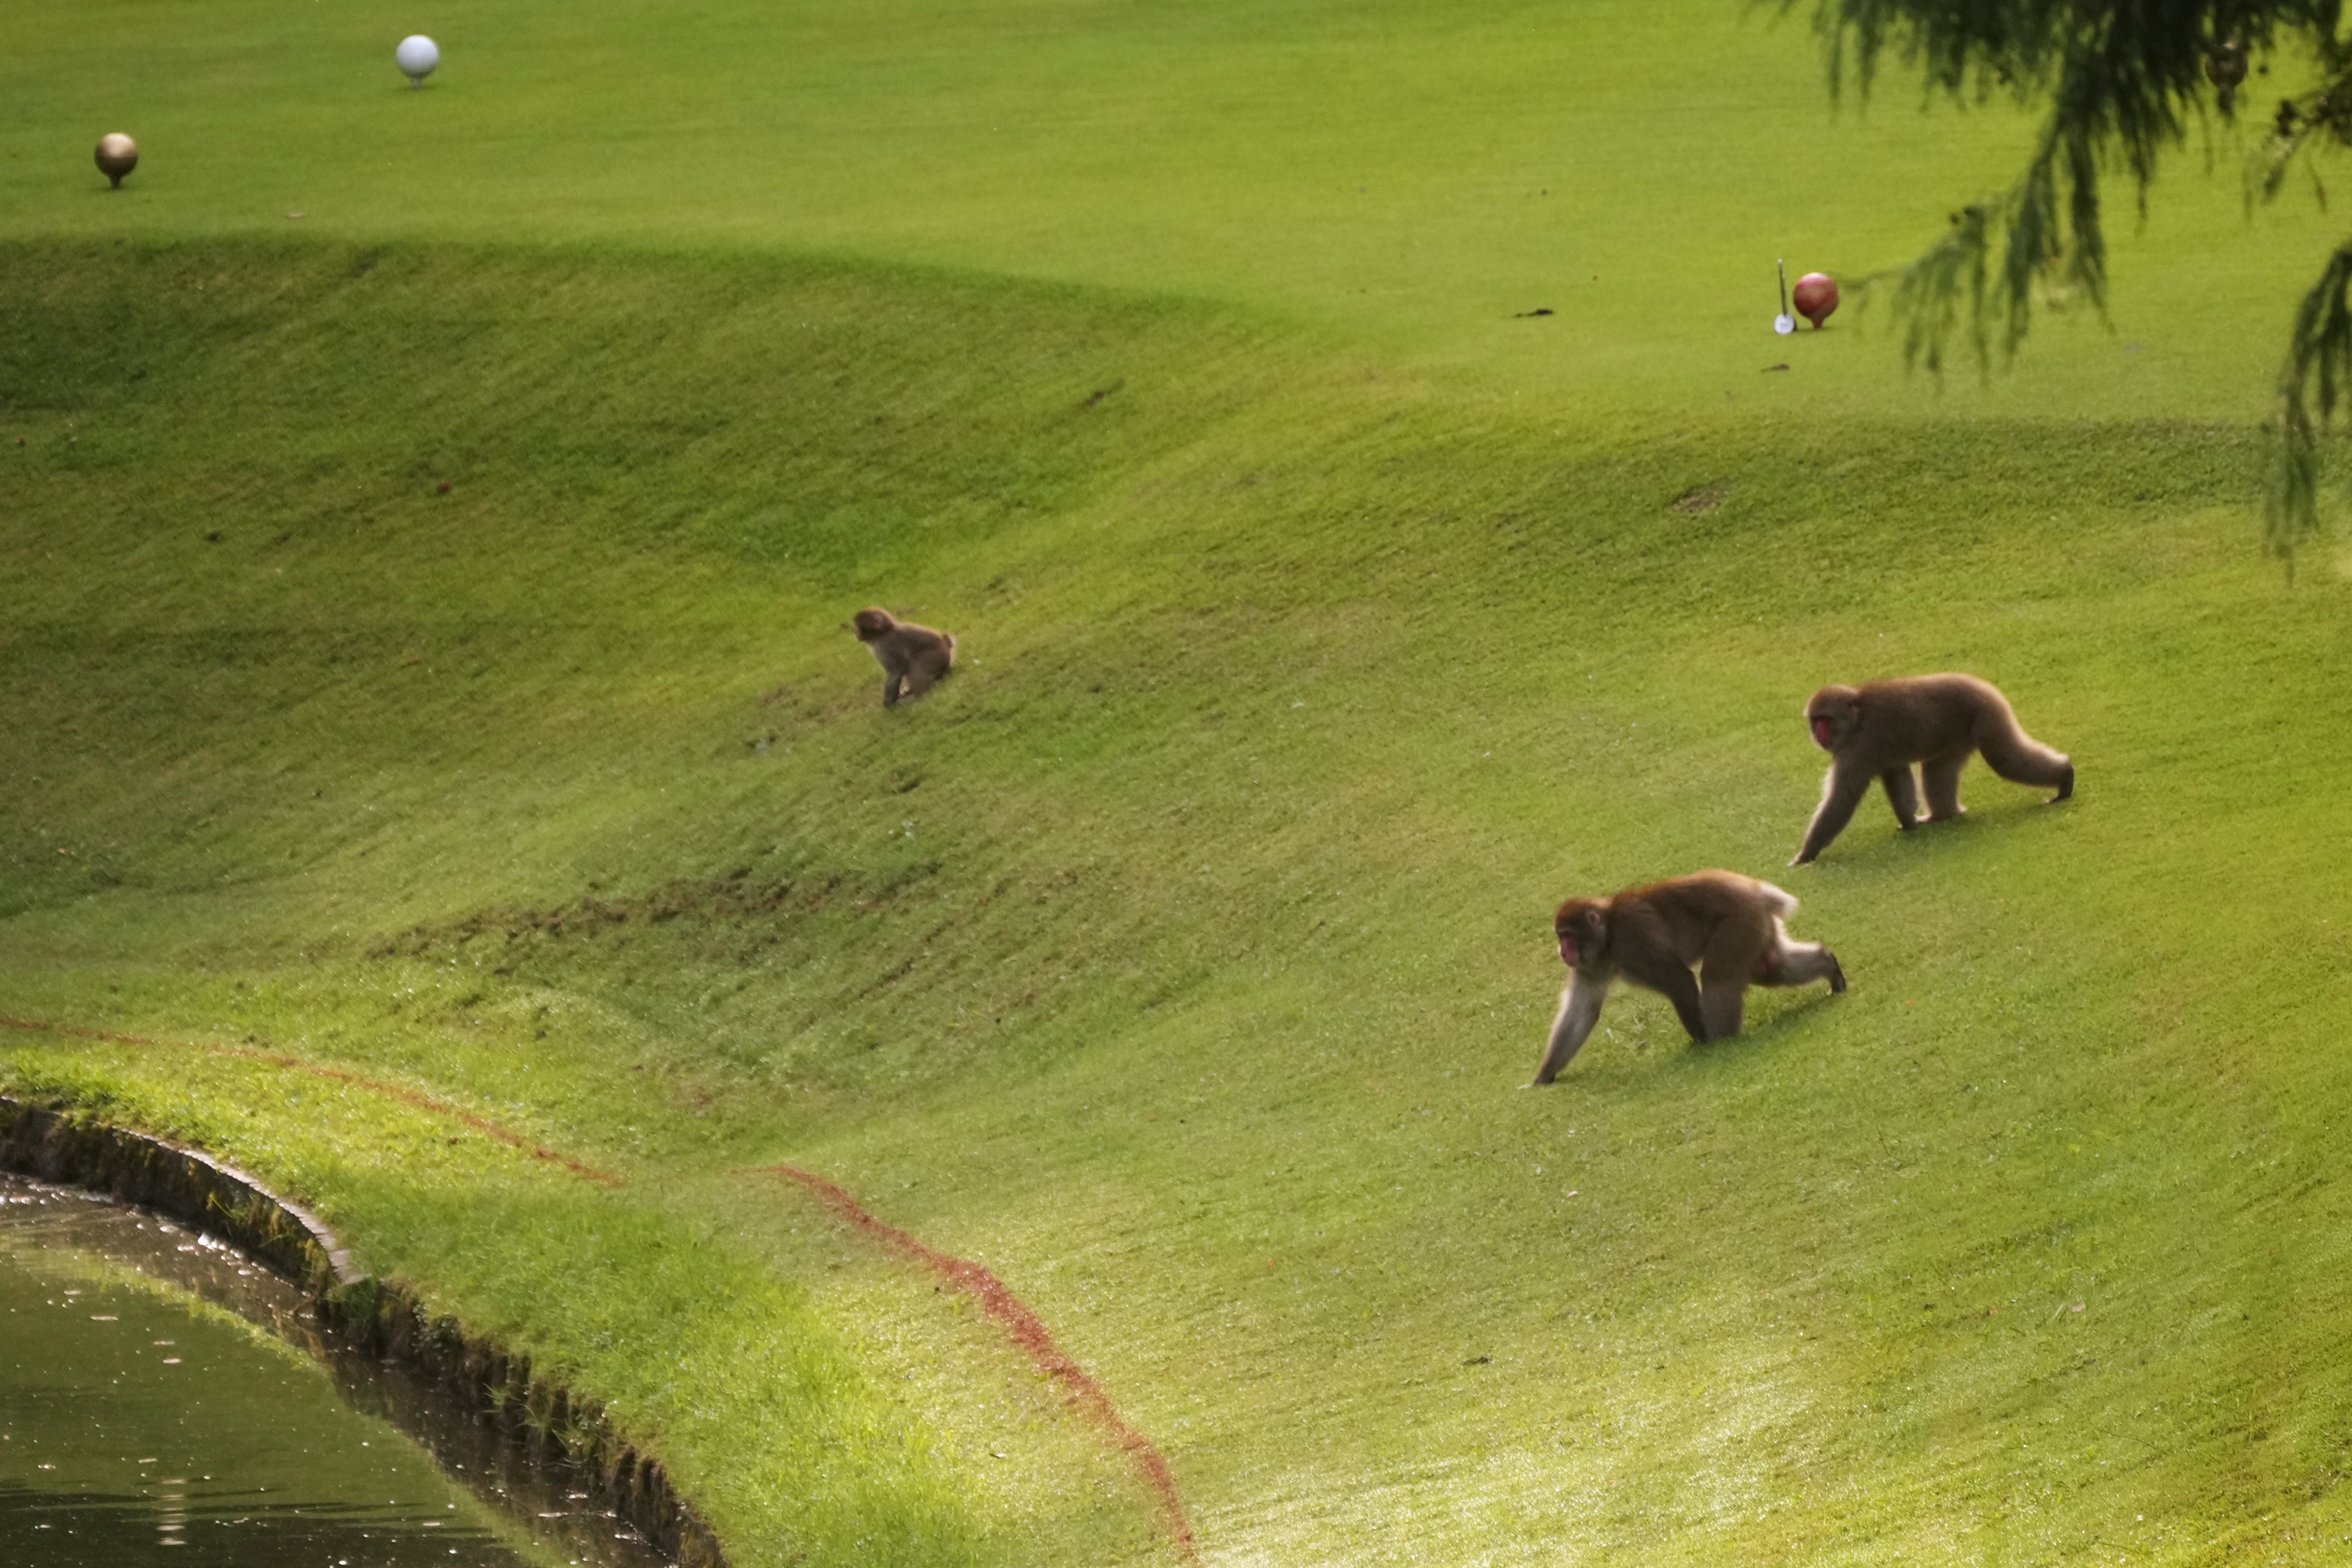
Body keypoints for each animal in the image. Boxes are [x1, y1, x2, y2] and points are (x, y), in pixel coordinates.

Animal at [851, 608, 956, 707]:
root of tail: (947, 646)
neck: (883, 633)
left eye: (858, 627)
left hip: (938, 658)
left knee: (915, 662)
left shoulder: (887, 645)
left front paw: (889, 701)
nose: (856, 634)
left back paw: (916, 694)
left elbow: (898, 669)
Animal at [1532, 870, 1844, 1084]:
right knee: (1772, 968)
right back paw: (1830, 967)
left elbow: (1678, 980)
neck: (1608, 936)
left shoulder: (1633, 942)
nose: (1563, 952)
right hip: (1756, 925)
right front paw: (1544, 1077)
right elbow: (1582, 1011)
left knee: (1719, 980)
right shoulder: (1591, 964)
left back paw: (1721, 1040)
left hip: (1738, 922)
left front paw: (1703, 1042)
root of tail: (1754, 888)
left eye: (1569, 937)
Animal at [1792, 673, 2073, 865]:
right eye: (1815, 720)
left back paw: (2066, 777)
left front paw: (1807, 854)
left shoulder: (1858, 748)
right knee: (1936, 770)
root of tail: (1980, 682)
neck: (1856, 719)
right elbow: (1897, 775)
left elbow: (1843, 798)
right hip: (1958, 736)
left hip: (1987, 714)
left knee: (2005, 760)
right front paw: (1909, 824)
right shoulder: (1878, 753)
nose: (1819, 733)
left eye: (1826, 720)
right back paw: (1944, 815)